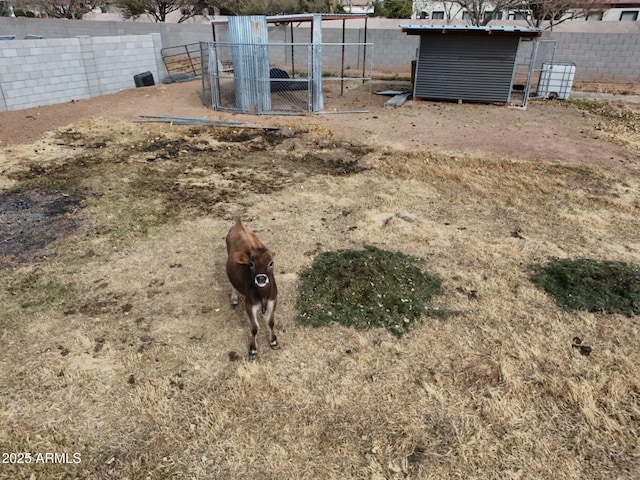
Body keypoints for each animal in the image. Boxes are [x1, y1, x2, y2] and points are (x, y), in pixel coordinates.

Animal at [225, 218, 278, 360]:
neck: (263, 295)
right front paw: (253, 349)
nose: (261, 279)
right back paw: (234, 299)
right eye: (251, 264)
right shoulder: (249, 305)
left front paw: (274, 341)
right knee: (232, 284)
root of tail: (239, 223)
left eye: (271, 263)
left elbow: (270, 322)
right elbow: (254, 327)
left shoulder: (273, 301)